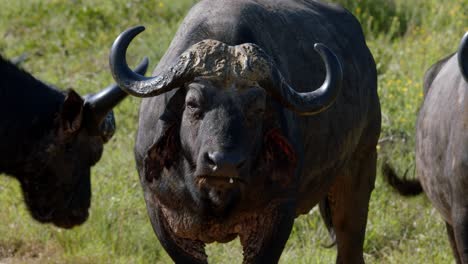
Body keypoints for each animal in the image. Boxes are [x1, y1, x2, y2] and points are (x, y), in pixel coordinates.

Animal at [109, 1, 380, 262]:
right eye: (192, 103)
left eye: (258, 108)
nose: (223, 163)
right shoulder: (162, 214)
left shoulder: (277, 213)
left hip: (361, 166)